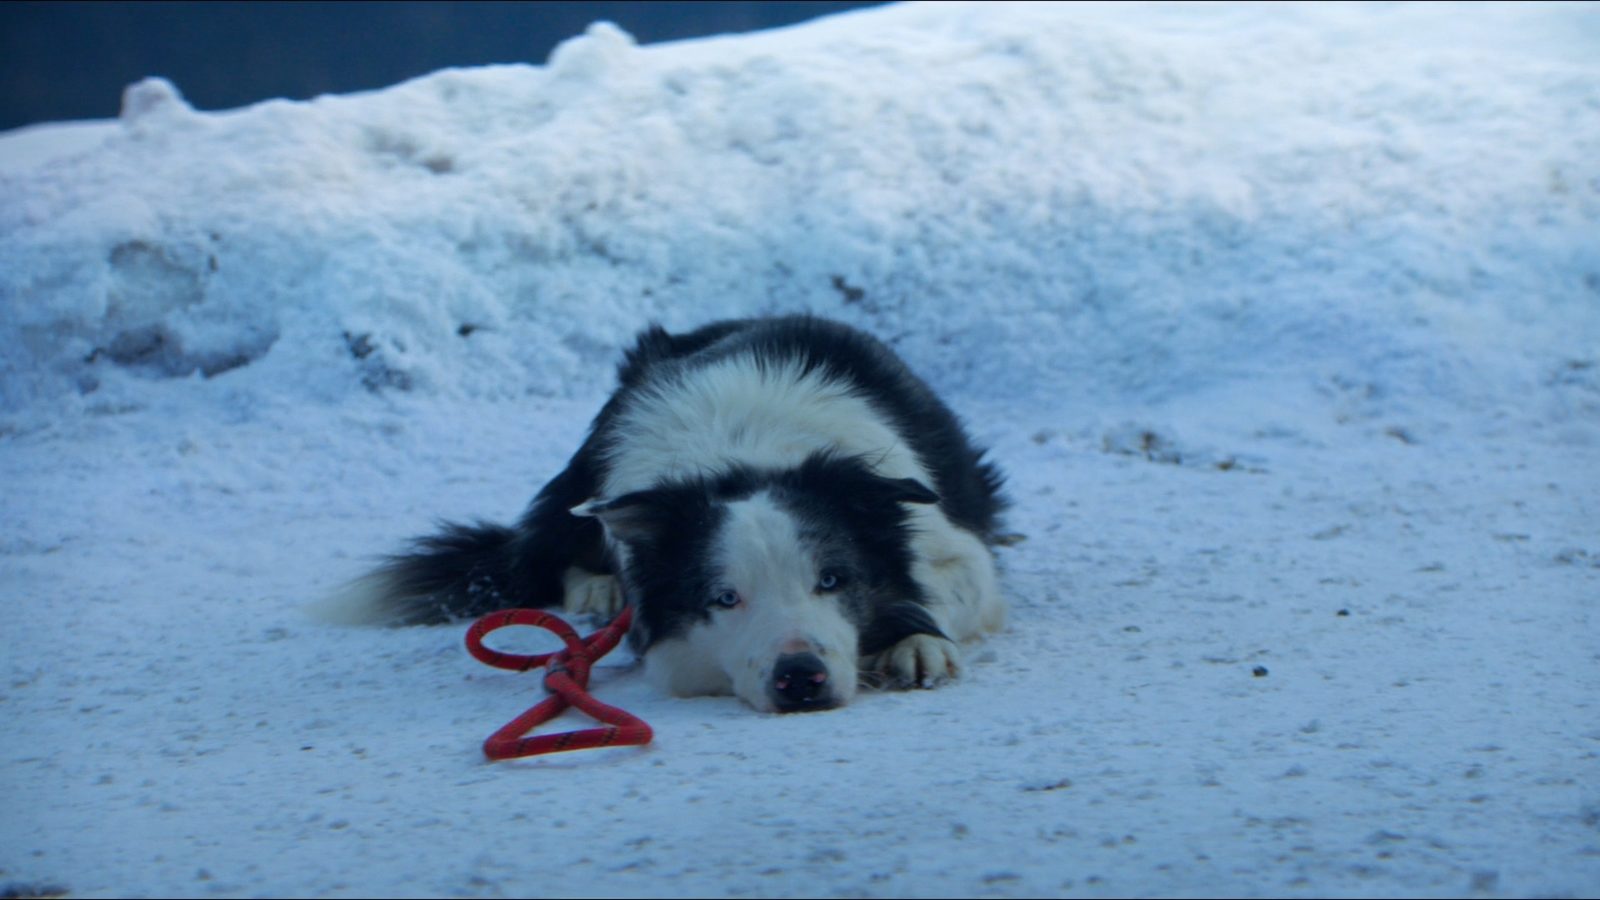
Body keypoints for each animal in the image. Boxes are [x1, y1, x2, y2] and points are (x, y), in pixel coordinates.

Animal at [336, 313, 1004, 707]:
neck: (745, 454)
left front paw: (916, 641)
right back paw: (599, 589)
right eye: (725, 598)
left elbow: (944, 585)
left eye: (833, 580)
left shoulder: (952, 541)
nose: (799, 678)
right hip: (584, 473)